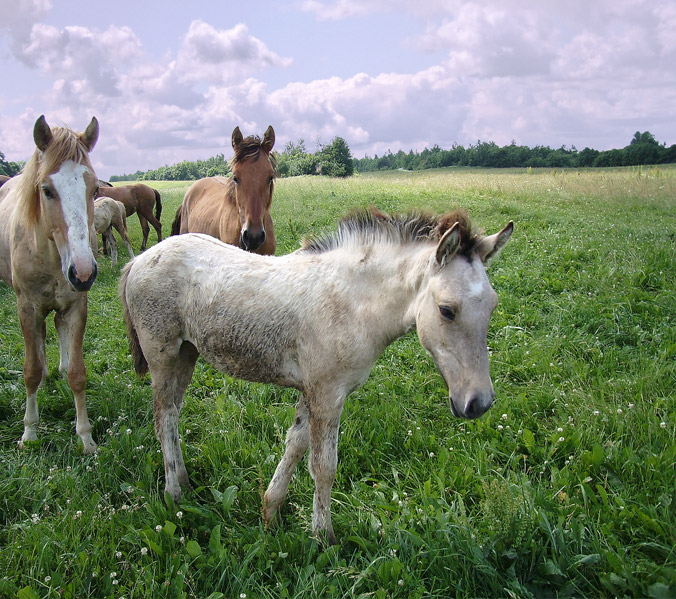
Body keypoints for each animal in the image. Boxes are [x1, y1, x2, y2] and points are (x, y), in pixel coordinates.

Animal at [0, 115, 100, 453]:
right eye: (46, 190)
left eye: (94, 189)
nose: (83, 272)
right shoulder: (27, 307)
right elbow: (29, 371)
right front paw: (29, 432)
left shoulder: (76, 305)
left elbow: (78, 373)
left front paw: (85, 436)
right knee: (40, 339)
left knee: (55, 327)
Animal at [119, 206, 513, 543]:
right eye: (447, 310)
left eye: (493, 305)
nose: (478, 403)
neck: (353, 302)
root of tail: (139, 259)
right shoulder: (327, 394)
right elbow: (324, 466)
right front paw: (323, 538)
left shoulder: (311, 391)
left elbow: (295, 444)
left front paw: (270, 512)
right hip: (163, 354)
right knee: (164, 416)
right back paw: (174, 494)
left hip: (187, 353)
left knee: (172, 413)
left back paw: (184, 482)